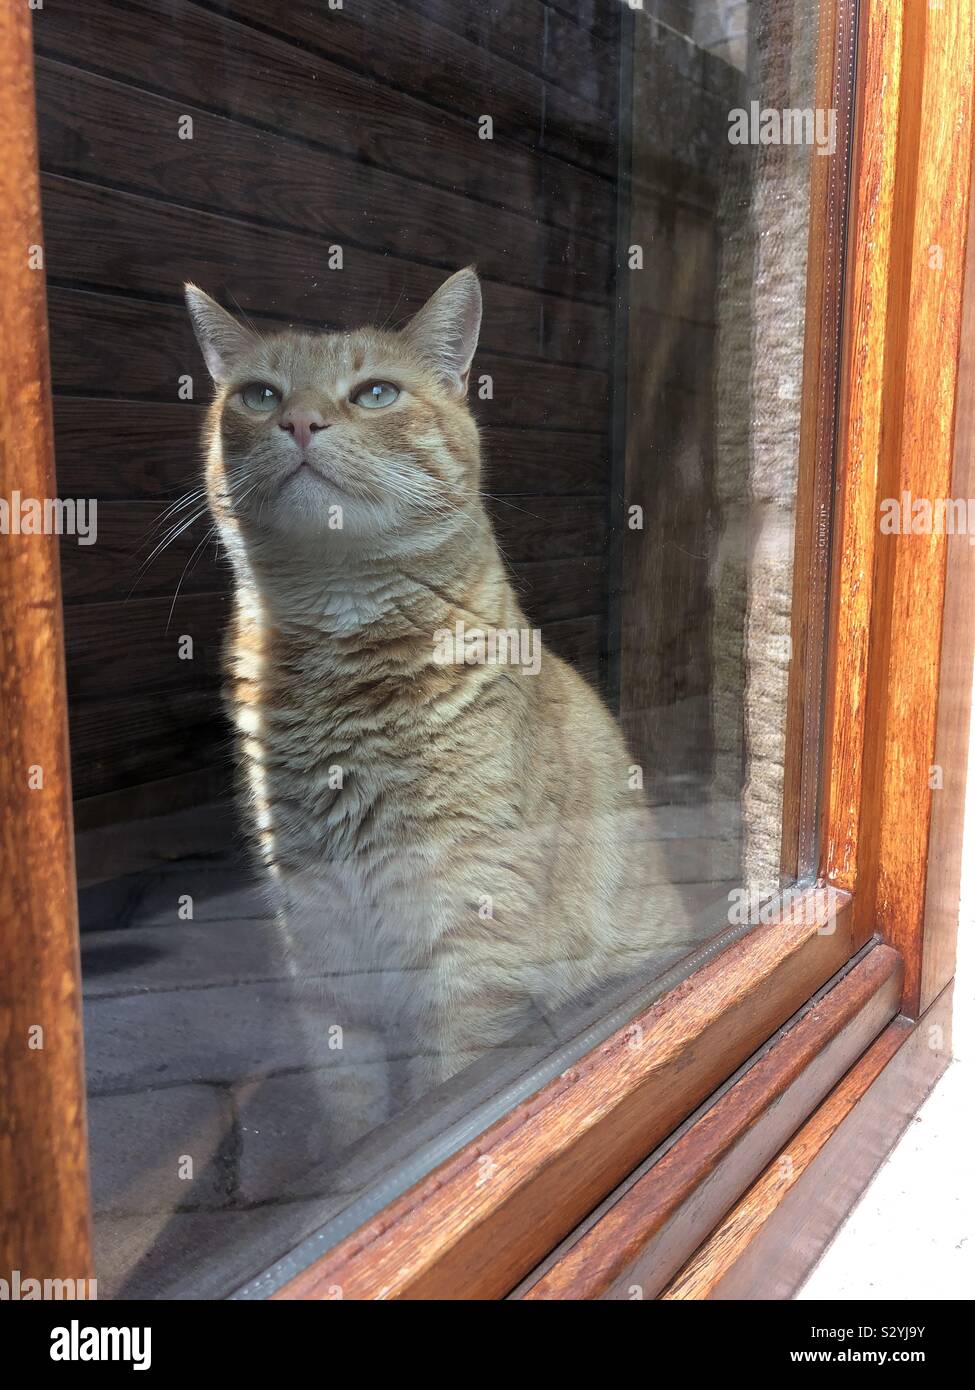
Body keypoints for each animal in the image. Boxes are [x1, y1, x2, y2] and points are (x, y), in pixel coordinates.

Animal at [180, 268, 684, 1117]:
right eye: (258, 395)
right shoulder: (319, 938)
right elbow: (350, 1104)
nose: (299, 421)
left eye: (375, 393)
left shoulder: (470, 936)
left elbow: (443, 1083)